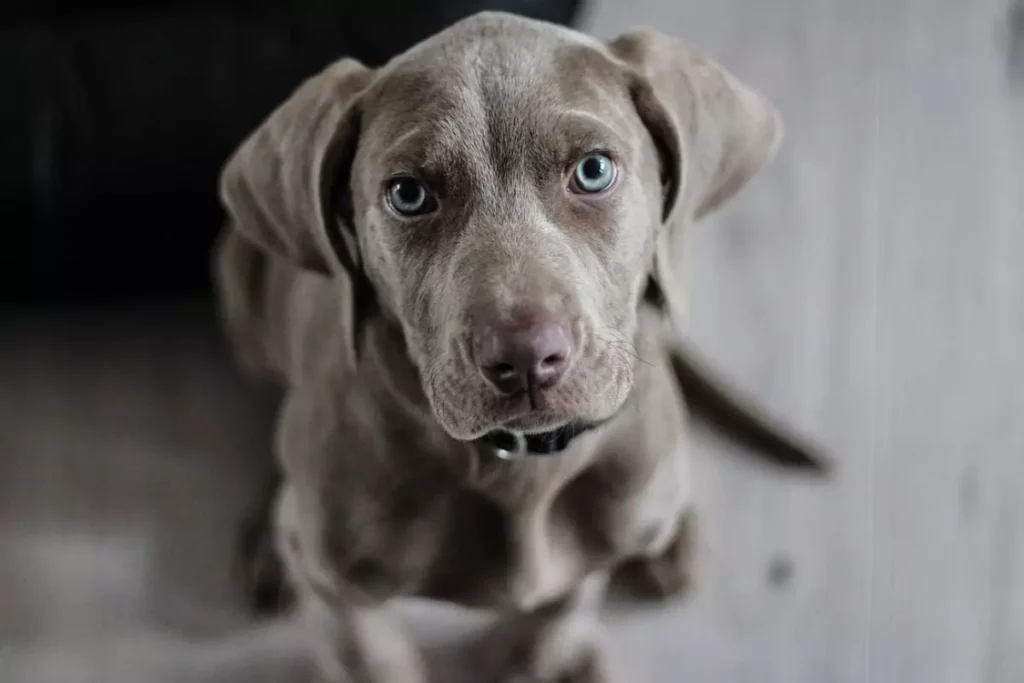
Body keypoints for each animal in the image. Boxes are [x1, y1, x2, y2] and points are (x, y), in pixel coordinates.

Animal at [211, 10, 827, 683]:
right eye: (408, 194)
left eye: (593, 170)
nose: (527, 360)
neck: (519, 468)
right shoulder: (337, 591)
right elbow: (372, 657)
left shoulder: (587, 554)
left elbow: (559, 613)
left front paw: (542, 657)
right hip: (239, 282)